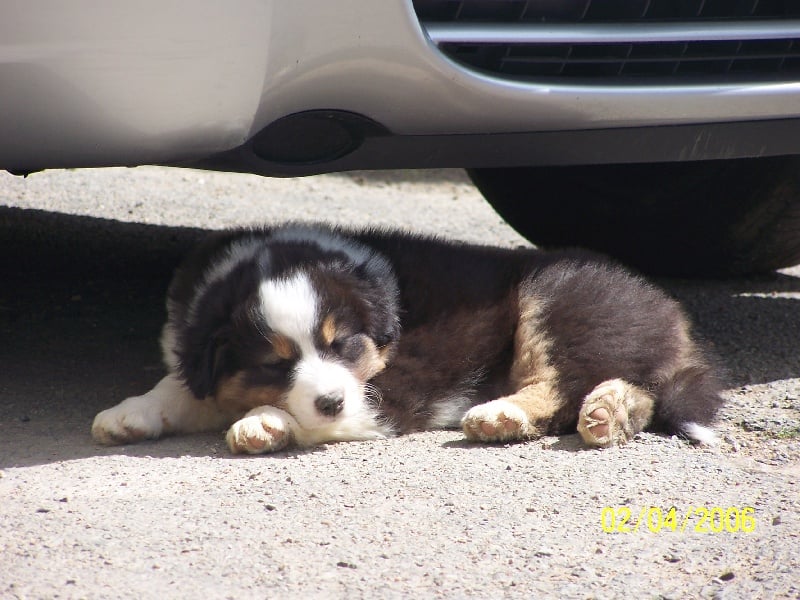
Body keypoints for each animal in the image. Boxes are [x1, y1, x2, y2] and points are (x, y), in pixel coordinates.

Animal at [94, 223, 724, 452]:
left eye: (341, 344)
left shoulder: (393, 385)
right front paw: (129, 414)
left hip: (556, 299)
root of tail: (666, 309)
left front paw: (263, 424)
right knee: (636, 387)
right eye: (274, 363)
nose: (331, 400)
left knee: (564, 383)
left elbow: (303, 412)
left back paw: (505, 415)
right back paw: (608, 414)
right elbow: (182, 386)